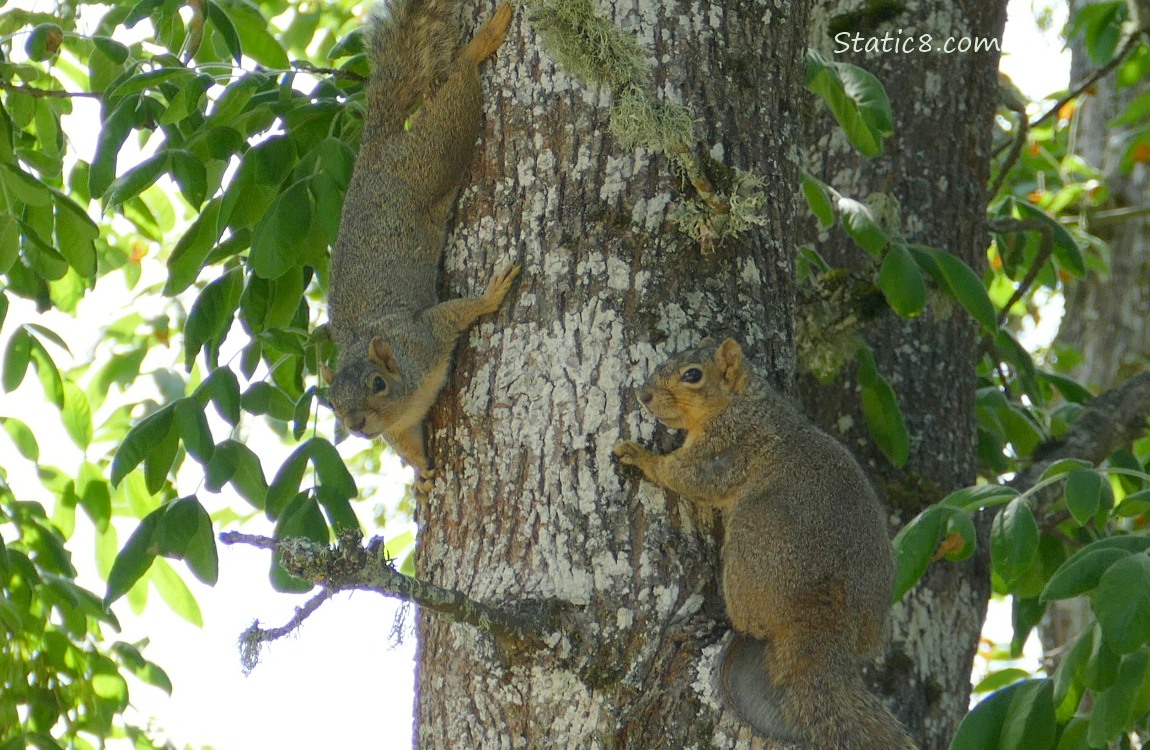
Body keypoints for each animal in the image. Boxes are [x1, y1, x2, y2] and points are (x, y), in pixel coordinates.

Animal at [321, 0, 519, 480]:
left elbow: (455, 312)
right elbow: (407, 444)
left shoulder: (422, 335)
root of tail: (371, 150)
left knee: (457, 92)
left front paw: (491, 294)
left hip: (431, 160)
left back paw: (479, 46)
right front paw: (423, 475)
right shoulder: (399, 427)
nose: (356, 425)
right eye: (332, 405)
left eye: (378, 383)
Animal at [614, 338, 917, 750]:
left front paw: (641, 456)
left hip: (751, 542)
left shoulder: (724, 450)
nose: (643, 395)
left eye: (692, 374)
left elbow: (690, 478)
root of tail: (825, 614)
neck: (744, 403)